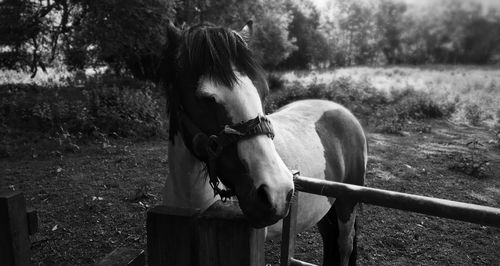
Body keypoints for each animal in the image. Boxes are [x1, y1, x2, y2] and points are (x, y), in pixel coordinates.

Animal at [161, 21, 368, 266]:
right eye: (205, 98)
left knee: (344, 244)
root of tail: (343, 111)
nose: (277, 192)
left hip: (347, 203)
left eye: (264, 91)